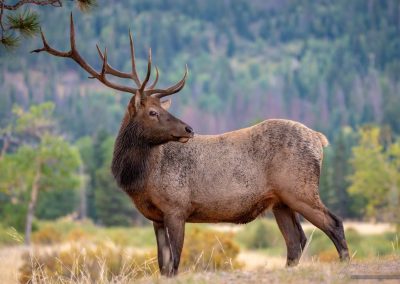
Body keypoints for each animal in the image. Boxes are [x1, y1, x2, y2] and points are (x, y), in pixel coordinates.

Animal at [32, 13, 348, 278]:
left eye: (161, 108)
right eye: (153, 112)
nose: (188, 129)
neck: (141, 179)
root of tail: (319, 138)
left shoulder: (177, 207)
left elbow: (175, 264)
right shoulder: (155, 217)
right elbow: (163, 265)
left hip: (299, 187)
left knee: (333, 223)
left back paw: (346, 263)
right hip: (280, 200)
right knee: (296, 240)